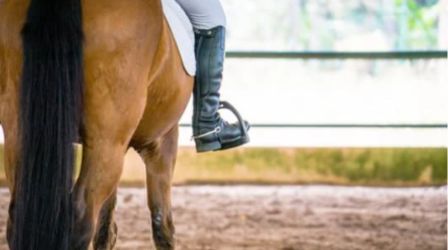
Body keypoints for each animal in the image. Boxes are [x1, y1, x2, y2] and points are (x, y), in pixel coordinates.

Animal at [0, 0, 192, 248]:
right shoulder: (161, 141)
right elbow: (163, 226)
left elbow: (106, 229)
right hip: (107, 145)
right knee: (80, 220)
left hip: (20, 134)